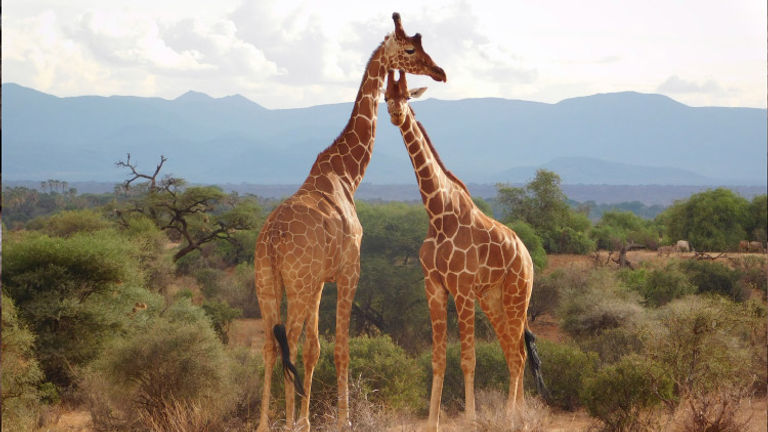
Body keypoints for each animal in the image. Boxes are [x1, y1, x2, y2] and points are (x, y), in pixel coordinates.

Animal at [253, 15, 446, 432]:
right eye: (411, 50)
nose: (440, 71)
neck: (345, 174)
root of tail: (272, 239)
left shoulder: (320, 281)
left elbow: (314, 349)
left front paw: (307, 420)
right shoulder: (348, 271)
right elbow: (340, 348)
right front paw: (339, 420)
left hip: (267, 280)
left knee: (270, 345)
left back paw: (262, 423)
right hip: (297, 282)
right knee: (287, 339)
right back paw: (284, 421)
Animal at [384, 70, 546, 432]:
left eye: (408, 96)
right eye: (386, 96)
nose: (395, 114)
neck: (437, 213)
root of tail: (527, 255)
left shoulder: (462, 287)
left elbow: (468, 359)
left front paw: (471, 419)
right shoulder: (434, 286)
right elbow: (437, 358)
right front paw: (432, 422)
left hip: (518, 294)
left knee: (519, 354)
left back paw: (511, 417)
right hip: (493, 299)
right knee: (514, 353)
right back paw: (515, 415)